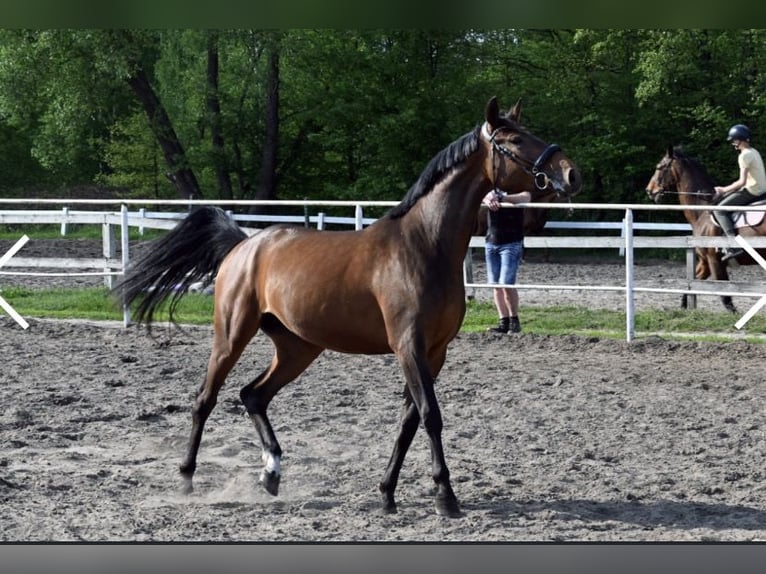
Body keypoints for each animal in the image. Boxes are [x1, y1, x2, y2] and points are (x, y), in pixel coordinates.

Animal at [115, 97, 582, 517]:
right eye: (514, 139)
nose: (570, 173)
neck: (423, 244)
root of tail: (244, 244)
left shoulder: (435, 352)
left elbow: (409, 422)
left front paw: (387, 494)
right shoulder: (408, 346)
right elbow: (430, 415)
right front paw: (445, 497)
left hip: (298, 347)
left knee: (253, 395)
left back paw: (271, 473)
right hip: (231, 336)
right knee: (205, 399)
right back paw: (187, 479)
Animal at [645, 145, 766, 313]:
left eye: (659, 167)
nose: (649, 190)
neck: (702, 210)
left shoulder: (714, 260)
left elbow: (725, 295)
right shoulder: (704, 263)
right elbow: (690, 284)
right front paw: (684, 307)